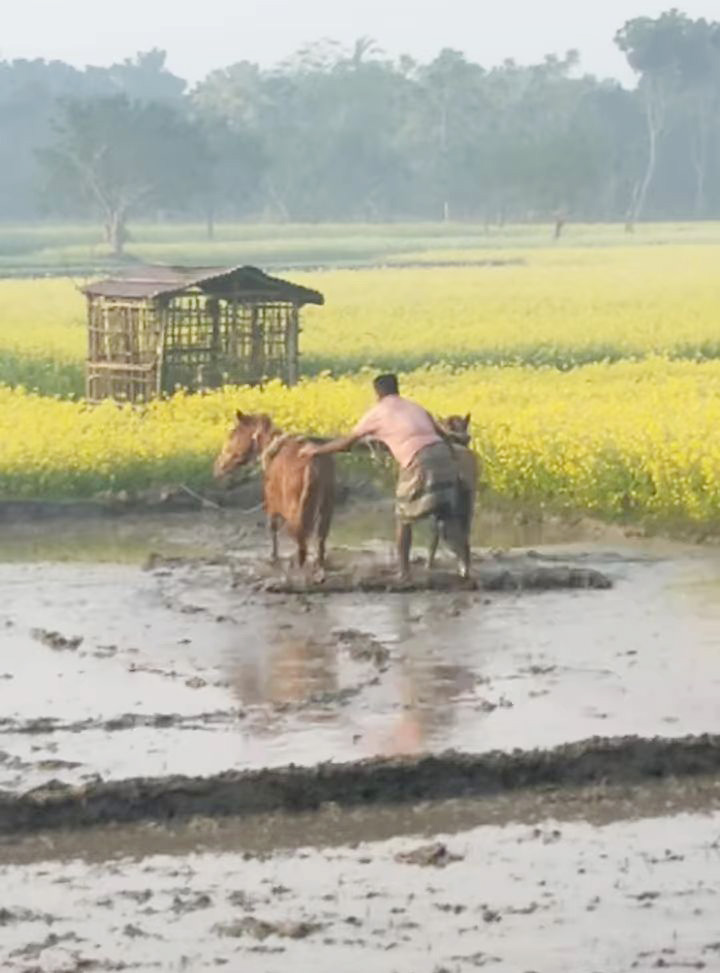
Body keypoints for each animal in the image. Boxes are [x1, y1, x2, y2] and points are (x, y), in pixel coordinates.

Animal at [214, 412, 334, 568]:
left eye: (232, 433)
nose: (218, 466)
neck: (272, 448)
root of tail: (313, 462)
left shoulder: (271, 505)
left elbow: (272, 528)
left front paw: (273, 557)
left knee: (302, 544)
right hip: (326, 510)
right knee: (320, 540)